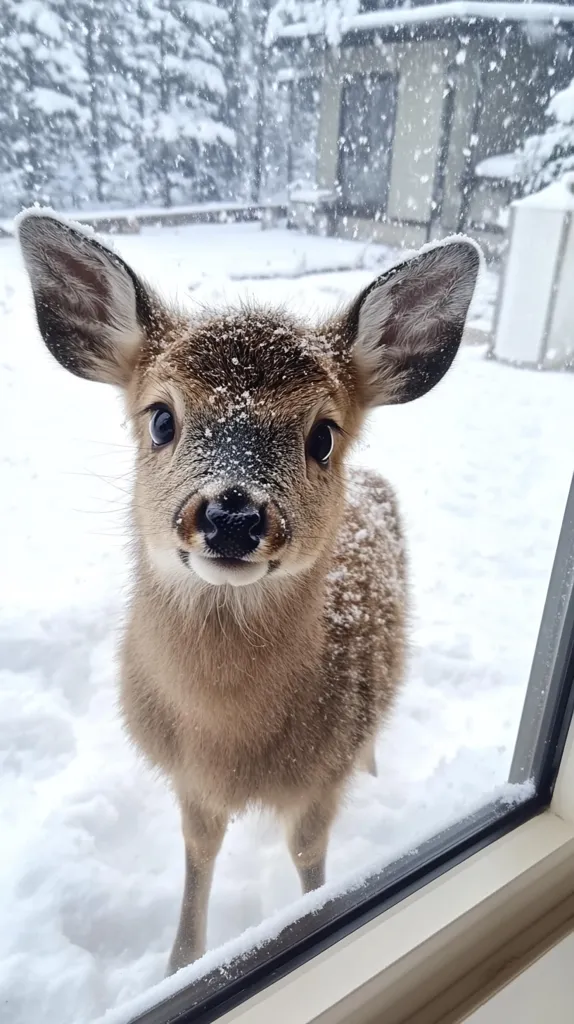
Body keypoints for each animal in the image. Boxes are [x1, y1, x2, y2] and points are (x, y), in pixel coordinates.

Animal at [17, 210, 480, 975]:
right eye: (161, 418)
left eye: (323, 435)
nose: (232, 514)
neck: (227, 744)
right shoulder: (189, 781)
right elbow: (198, 855)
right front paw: (180, 963)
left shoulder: (319, 781)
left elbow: (310, 863)